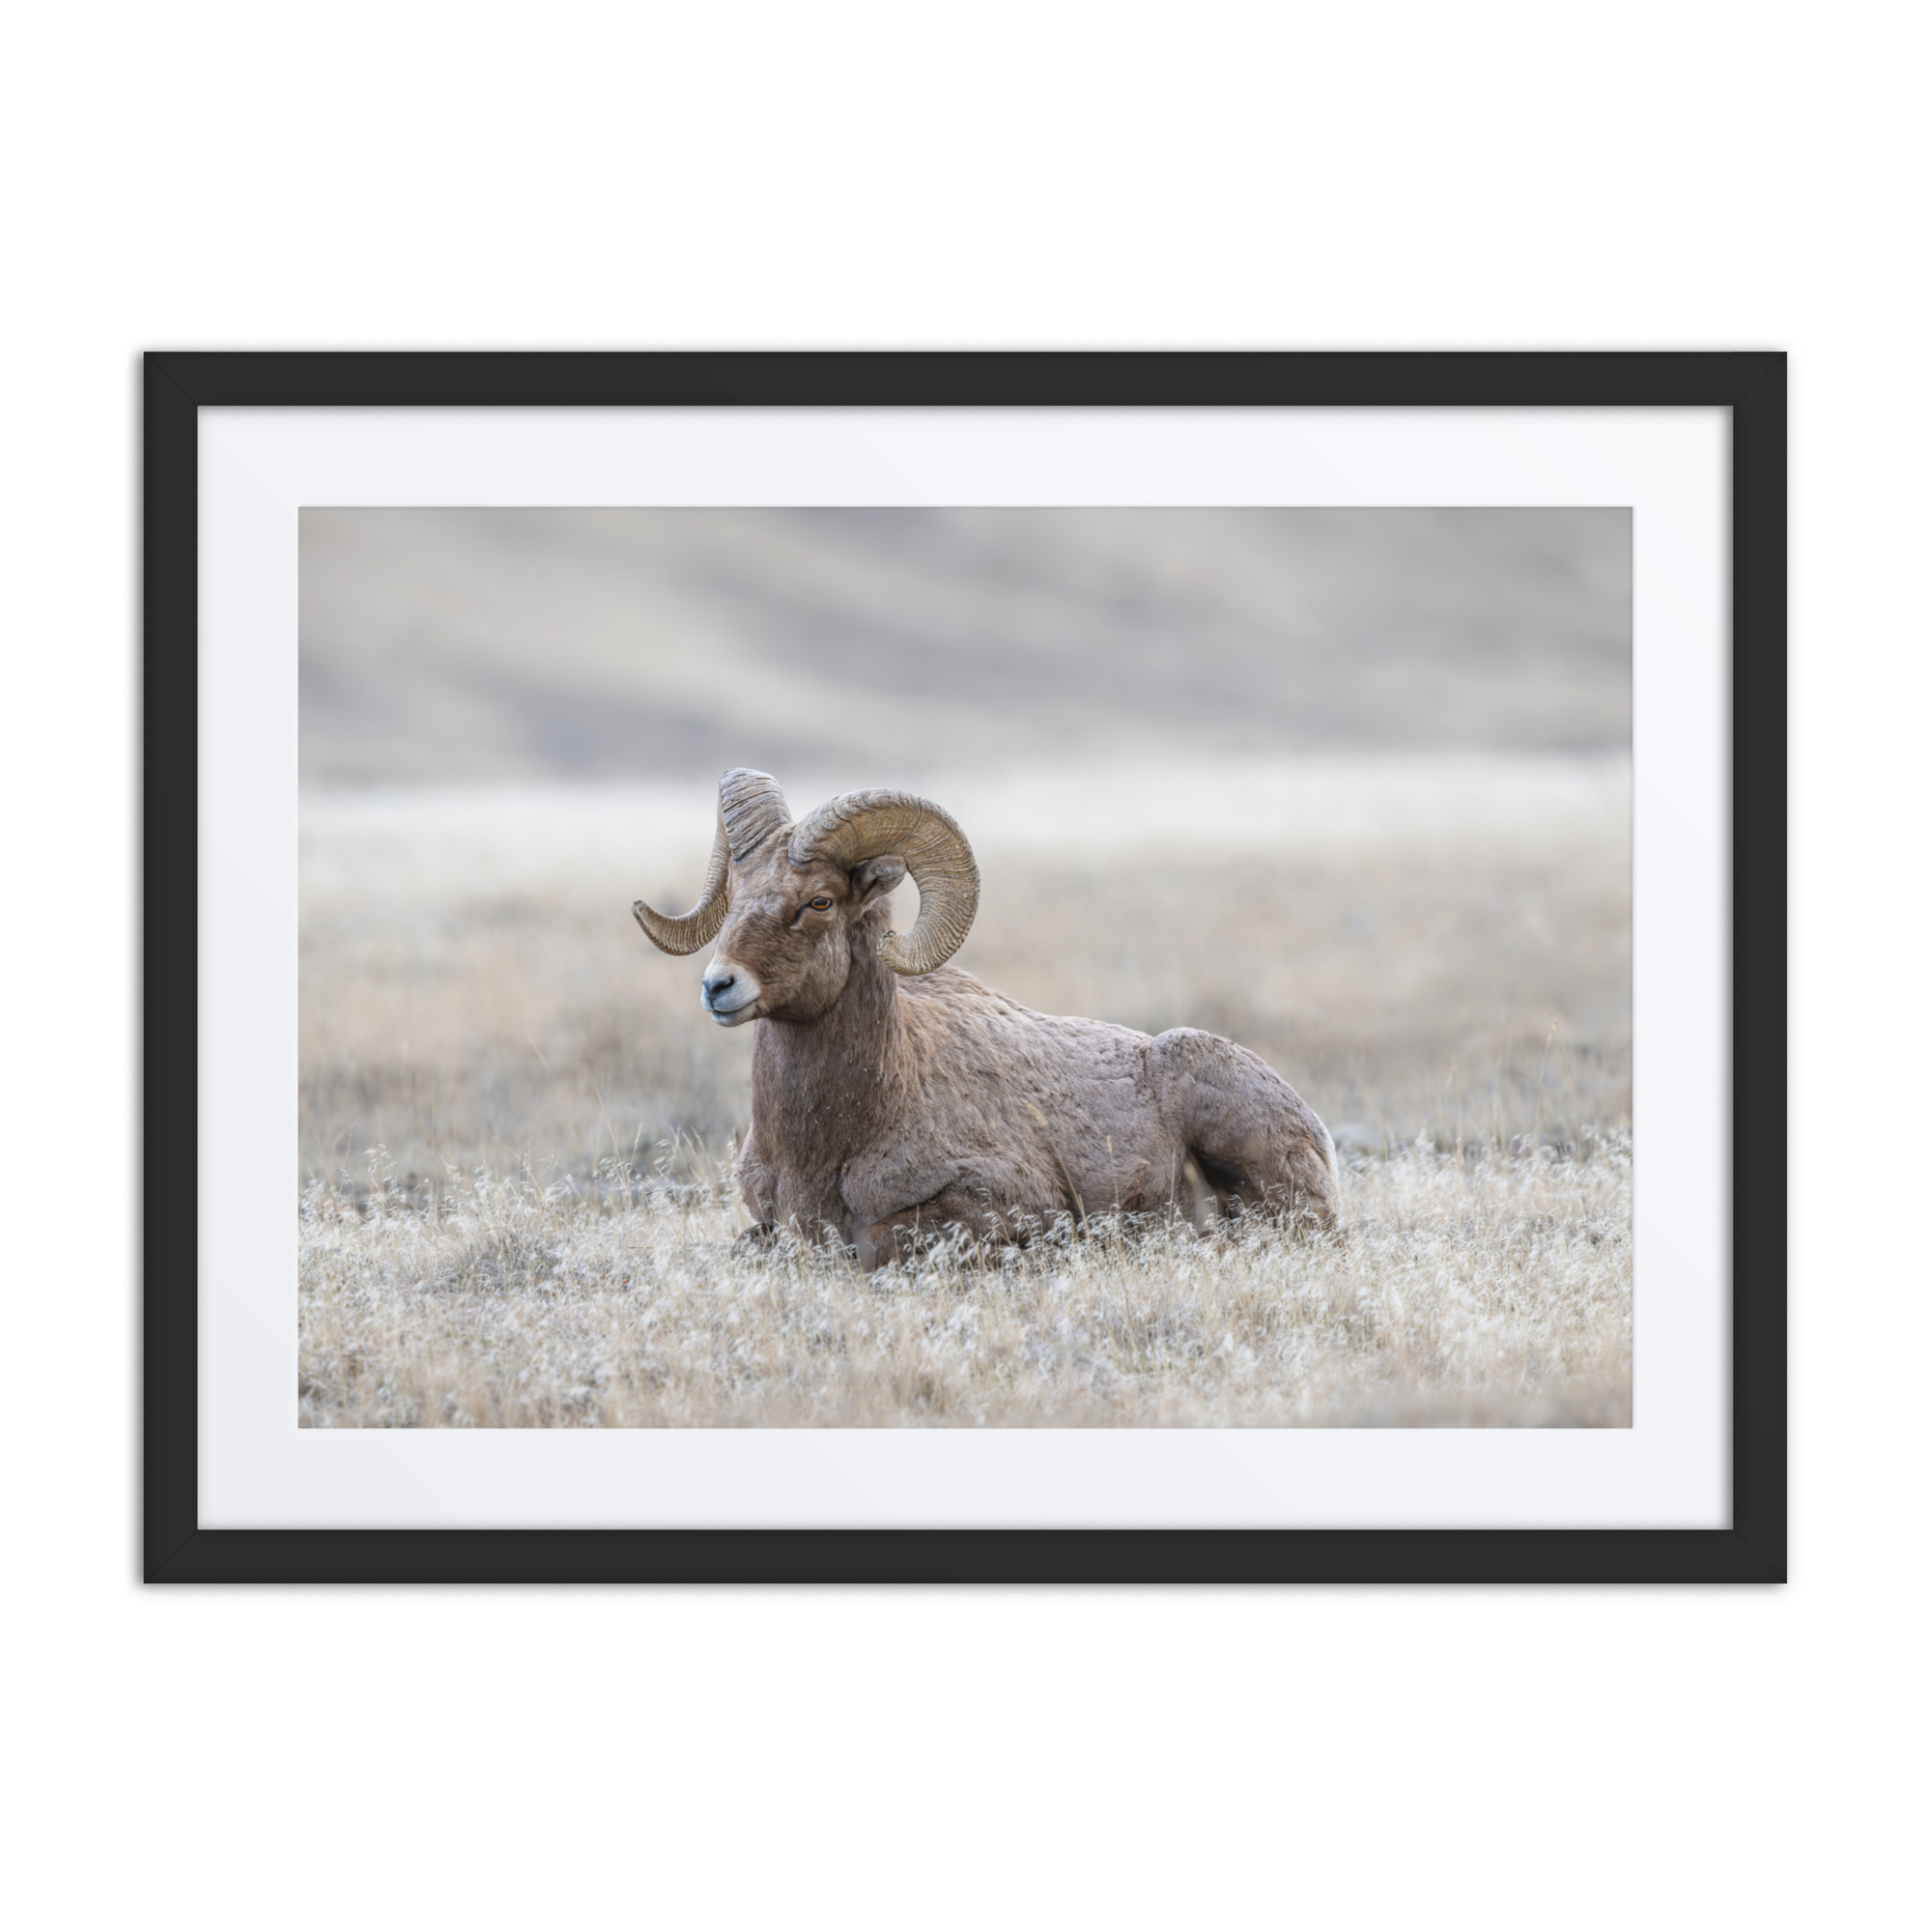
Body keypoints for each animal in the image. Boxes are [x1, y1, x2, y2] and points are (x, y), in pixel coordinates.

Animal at [633, 768, 1339, 1266]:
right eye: (734, 897)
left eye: (820, 902)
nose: (719, 986)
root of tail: (1317, 1133)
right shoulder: (767, 1222)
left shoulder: (1002, 1203)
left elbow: (875, 1242)